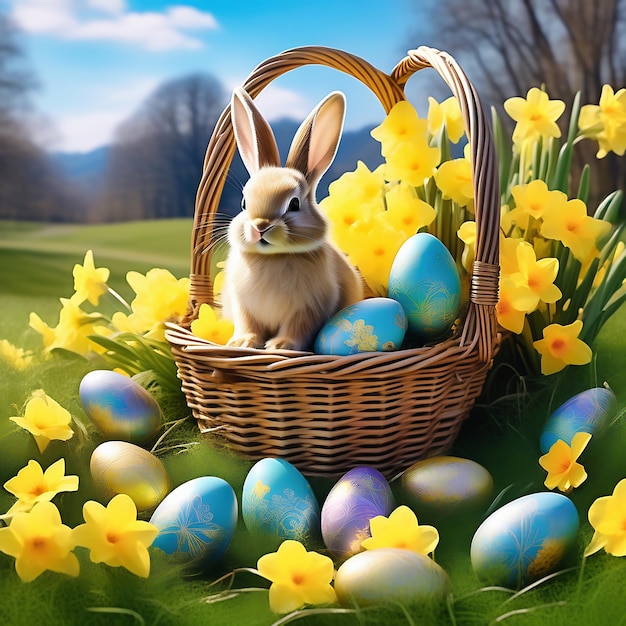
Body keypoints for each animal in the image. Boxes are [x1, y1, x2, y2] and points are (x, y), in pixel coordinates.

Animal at [222, 87, 364, 352]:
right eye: (244, 203)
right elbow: (248, 324)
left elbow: (297, 329)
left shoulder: (308, 310)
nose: (260, 226)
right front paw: (243, 342)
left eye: (294, 204)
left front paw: (280, 346)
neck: (272, 258)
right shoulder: (243, 306)